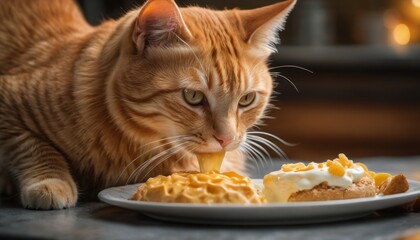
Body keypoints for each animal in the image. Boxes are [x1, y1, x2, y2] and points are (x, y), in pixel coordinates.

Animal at [0, 0, 296, 209]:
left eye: (246, 99)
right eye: (193, 96)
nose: (227, 139)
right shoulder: (9, 101)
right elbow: (34, 148)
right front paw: (51, 181)